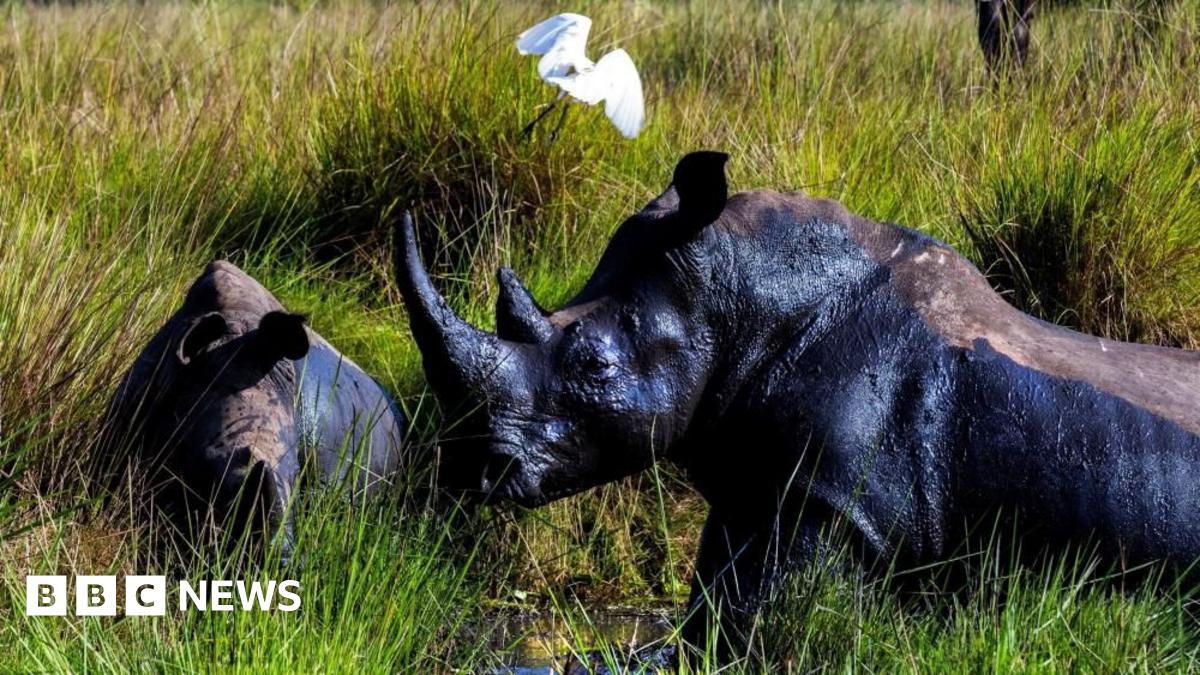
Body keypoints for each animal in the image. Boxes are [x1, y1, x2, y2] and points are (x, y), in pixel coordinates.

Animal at [397, 151, 1200, 659]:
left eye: (594, 365)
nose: (468, 465)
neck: (736, 299)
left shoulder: (832, 493)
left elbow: (758, 623)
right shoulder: (758, 482)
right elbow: (713, 612)